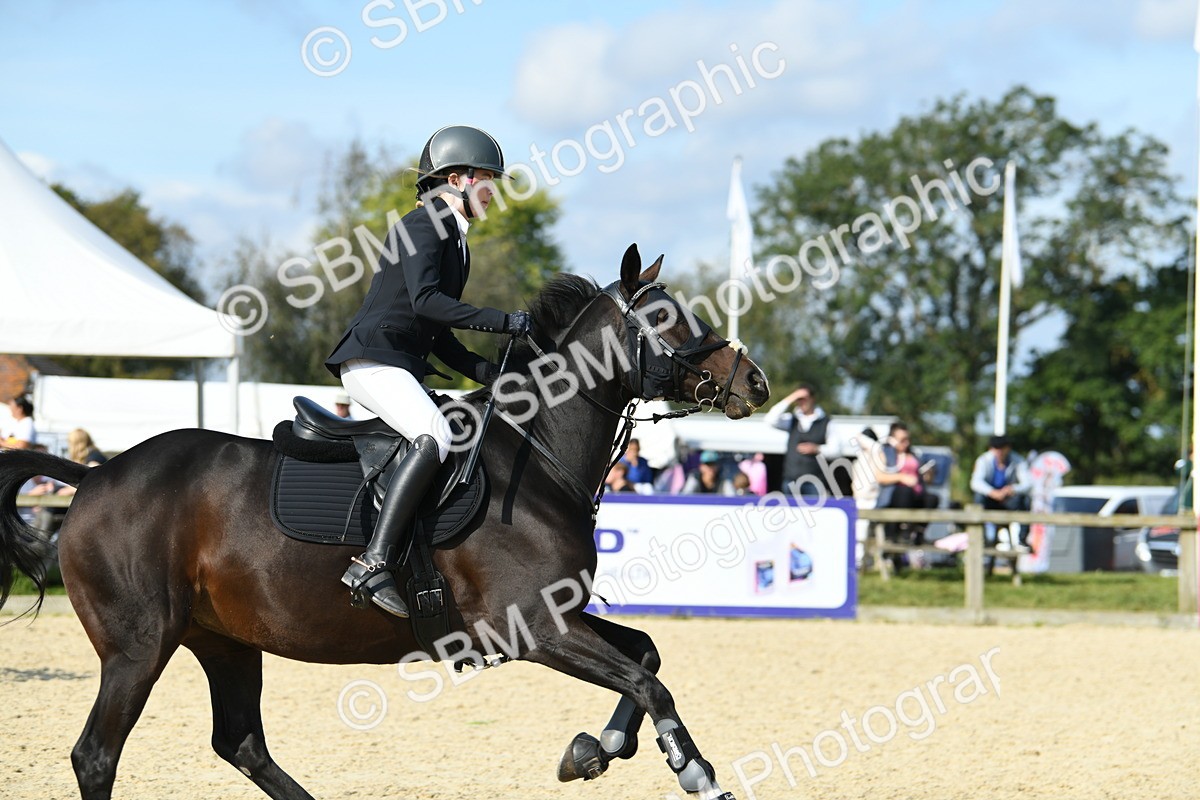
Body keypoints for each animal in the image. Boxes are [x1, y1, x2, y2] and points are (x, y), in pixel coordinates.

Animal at [0, 244, 770, 800]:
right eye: (666, 319)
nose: (755, 382)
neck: (537, 451)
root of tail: (97, 475)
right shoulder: (532, 625)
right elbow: (649, 681)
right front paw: (695, 773)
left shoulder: (558, 613)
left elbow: (646, 654)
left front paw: (594, 751)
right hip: (139, 645)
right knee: (98, 755)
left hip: (223, 639)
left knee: (241, 743)